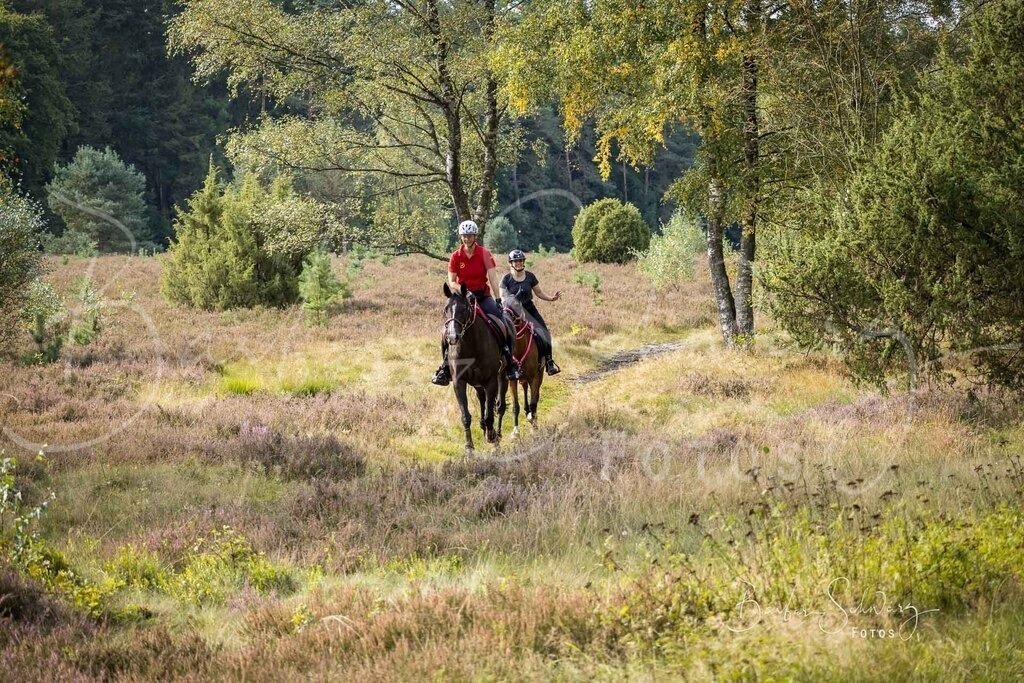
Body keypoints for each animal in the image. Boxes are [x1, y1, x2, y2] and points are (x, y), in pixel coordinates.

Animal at [442, 282, 504, 451]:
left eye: (464, 308)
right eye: (446, 308)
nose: (452, 337)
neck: (471, 345)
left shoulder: (491, 381)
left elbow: (490, 414)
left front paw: (491, 436)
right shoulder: (459, 382)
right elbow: (465, 416)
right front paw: (469, 447)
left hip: (501, 376)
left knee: (497, 405)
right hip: (477, 383)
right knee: (481, 398)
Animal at [496, 295, 544, 439]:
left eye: (516, 305)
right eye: (501, 304)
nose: (506, 317)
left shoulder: (535, 378)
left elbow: (534, 402)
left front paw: (534, 427)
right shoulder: (512, 380)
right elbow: (515, 407)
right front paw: (515, 432)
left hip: (540, 374)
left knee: (536, 396)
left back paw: (532, 417)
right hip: (522, 378)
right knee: (524, 388)